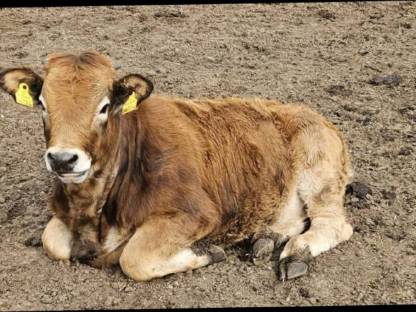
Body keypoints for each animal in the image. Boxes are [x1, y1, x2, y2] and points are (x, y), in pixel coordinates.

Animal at [0, 51, 352, 280]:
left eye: (104, 107)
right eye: (42, 104)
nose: (63, 159)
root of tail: (312, 114)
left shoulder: (196, 213)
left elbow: (134, 259)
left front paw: (208, 251)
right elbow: (53, 242)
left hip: (320, 173)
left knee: (334, 224)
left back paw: (296, 253)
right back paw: (266, 237)